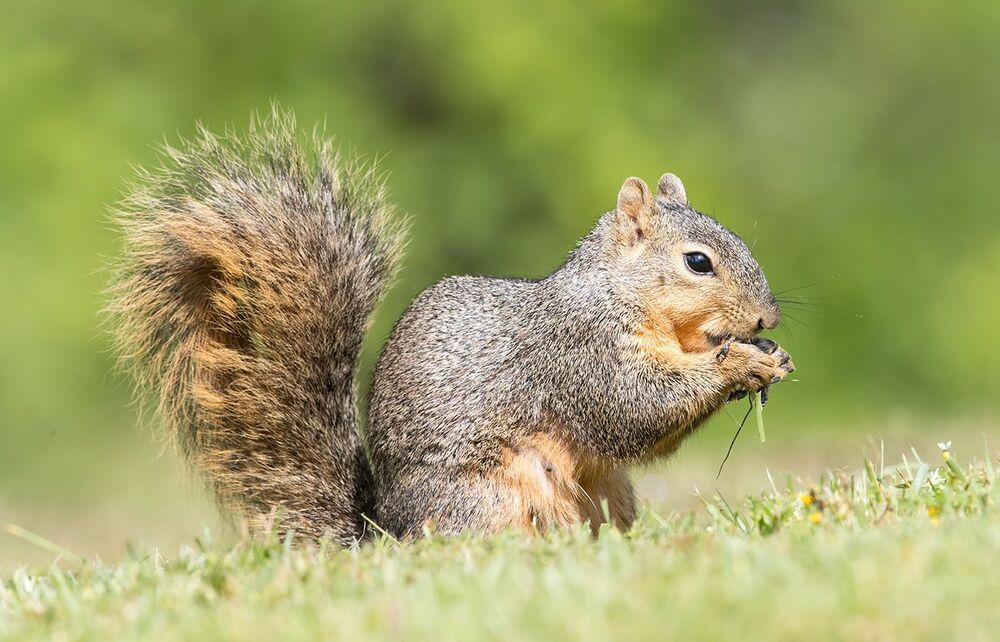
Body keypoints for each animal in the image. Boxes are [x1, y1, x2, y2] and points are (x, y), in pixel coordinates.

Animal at [107, 110, 794, 545]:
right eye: (698, 262)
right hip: (486, 499)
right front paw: (742, 363)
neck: (619, 296)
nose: (768, 317)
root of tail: (387, 535)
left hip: (607, 494)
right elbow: (635, 409)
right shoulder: (577, 353)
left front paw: (773, 355)